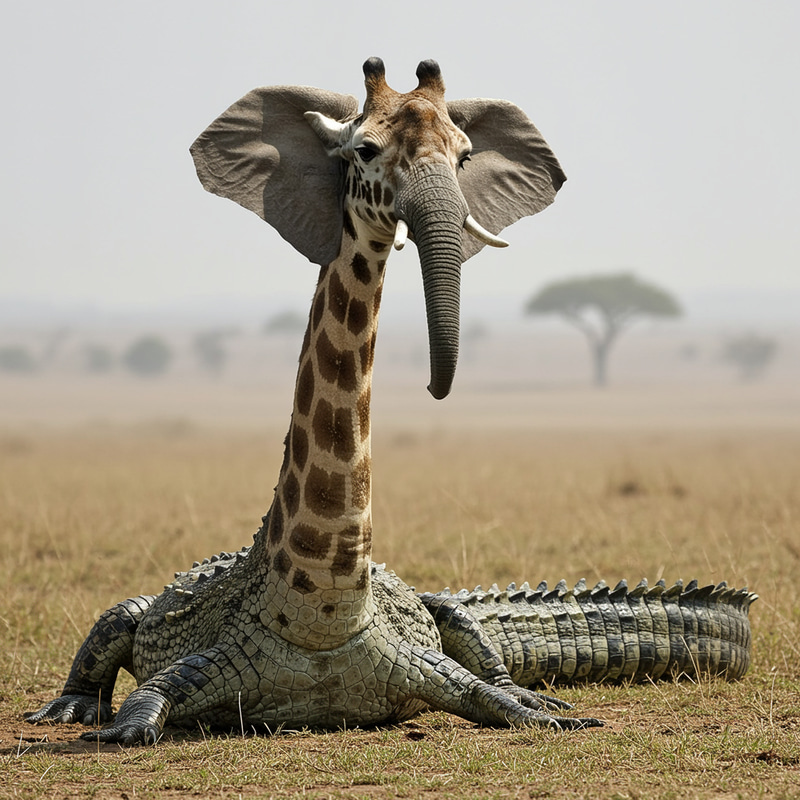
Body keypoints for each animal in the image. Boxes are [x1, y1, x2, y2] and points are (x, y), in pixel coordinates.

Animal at [26, 58, 603, 744]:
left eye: (465, 155)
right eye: (364, 150)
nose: (437, 385)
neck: (324, 612)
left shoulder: (420, 659)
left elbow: (488, 694)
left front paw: (544, 710)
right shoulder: (208, 659)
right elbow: (149, 699)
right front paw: (113, 729)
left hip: (441, 610)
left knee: (468, 626)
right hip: (136, 610)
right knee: (114, 621)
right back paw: (67, 710)